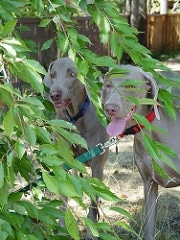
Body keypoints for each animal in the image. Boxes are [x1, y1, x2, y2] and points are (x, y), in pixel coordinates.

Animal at [43, 57, 108, 239]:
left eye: (72, 74)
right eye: (53, 74)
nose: (54, 95)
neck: (76, 117)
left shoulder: (97, 164)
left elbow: (93, 200)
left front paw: (92, 232)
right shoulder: (63, 160)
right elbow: (64, 197)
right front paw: (61, 228)